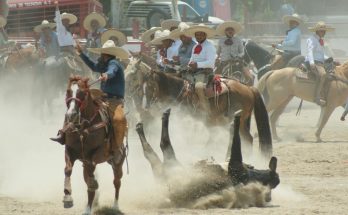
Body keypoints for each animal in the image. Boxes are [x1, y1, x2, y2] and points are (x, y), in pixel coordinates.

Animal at [60, 76, 125, 214]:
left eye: (83, 93)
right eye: (68, 91)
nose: (71, 115)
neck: (83, 127)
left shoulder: (95, 155)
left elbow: (91, 181)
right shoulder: (70, 150)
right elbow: (68, 170)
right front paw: (67, 197)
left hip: (118, 162)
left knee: (117, 182)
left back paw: (115, 206)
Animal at [140, 69, 274, 157]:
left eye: (151, 86)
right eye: (143, 87)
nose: (146, 106)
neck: (181, 92)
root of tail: (249, 88)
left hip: (237, 120)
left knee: (246, 138)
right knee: (247, 139)